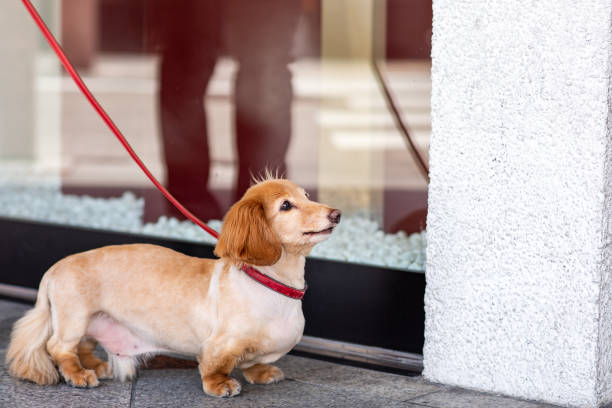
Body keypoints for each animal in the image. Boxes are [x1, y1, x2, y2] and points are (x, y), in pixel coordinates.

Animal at [4, 178, 340, 396]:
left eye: (307, 195)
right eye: (286, 205)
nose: (336, 214)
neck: (270, 282)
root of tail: (55, 268)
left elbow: (256, 359)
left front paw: (261, 372)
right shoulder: (219, 344)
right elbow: (215, 366)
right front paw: (220, 385)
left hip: (89, 321)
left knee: (83, 346)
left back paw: (95, 366)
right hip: (74, 318)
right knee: (58, 347)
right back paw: (78, 375)